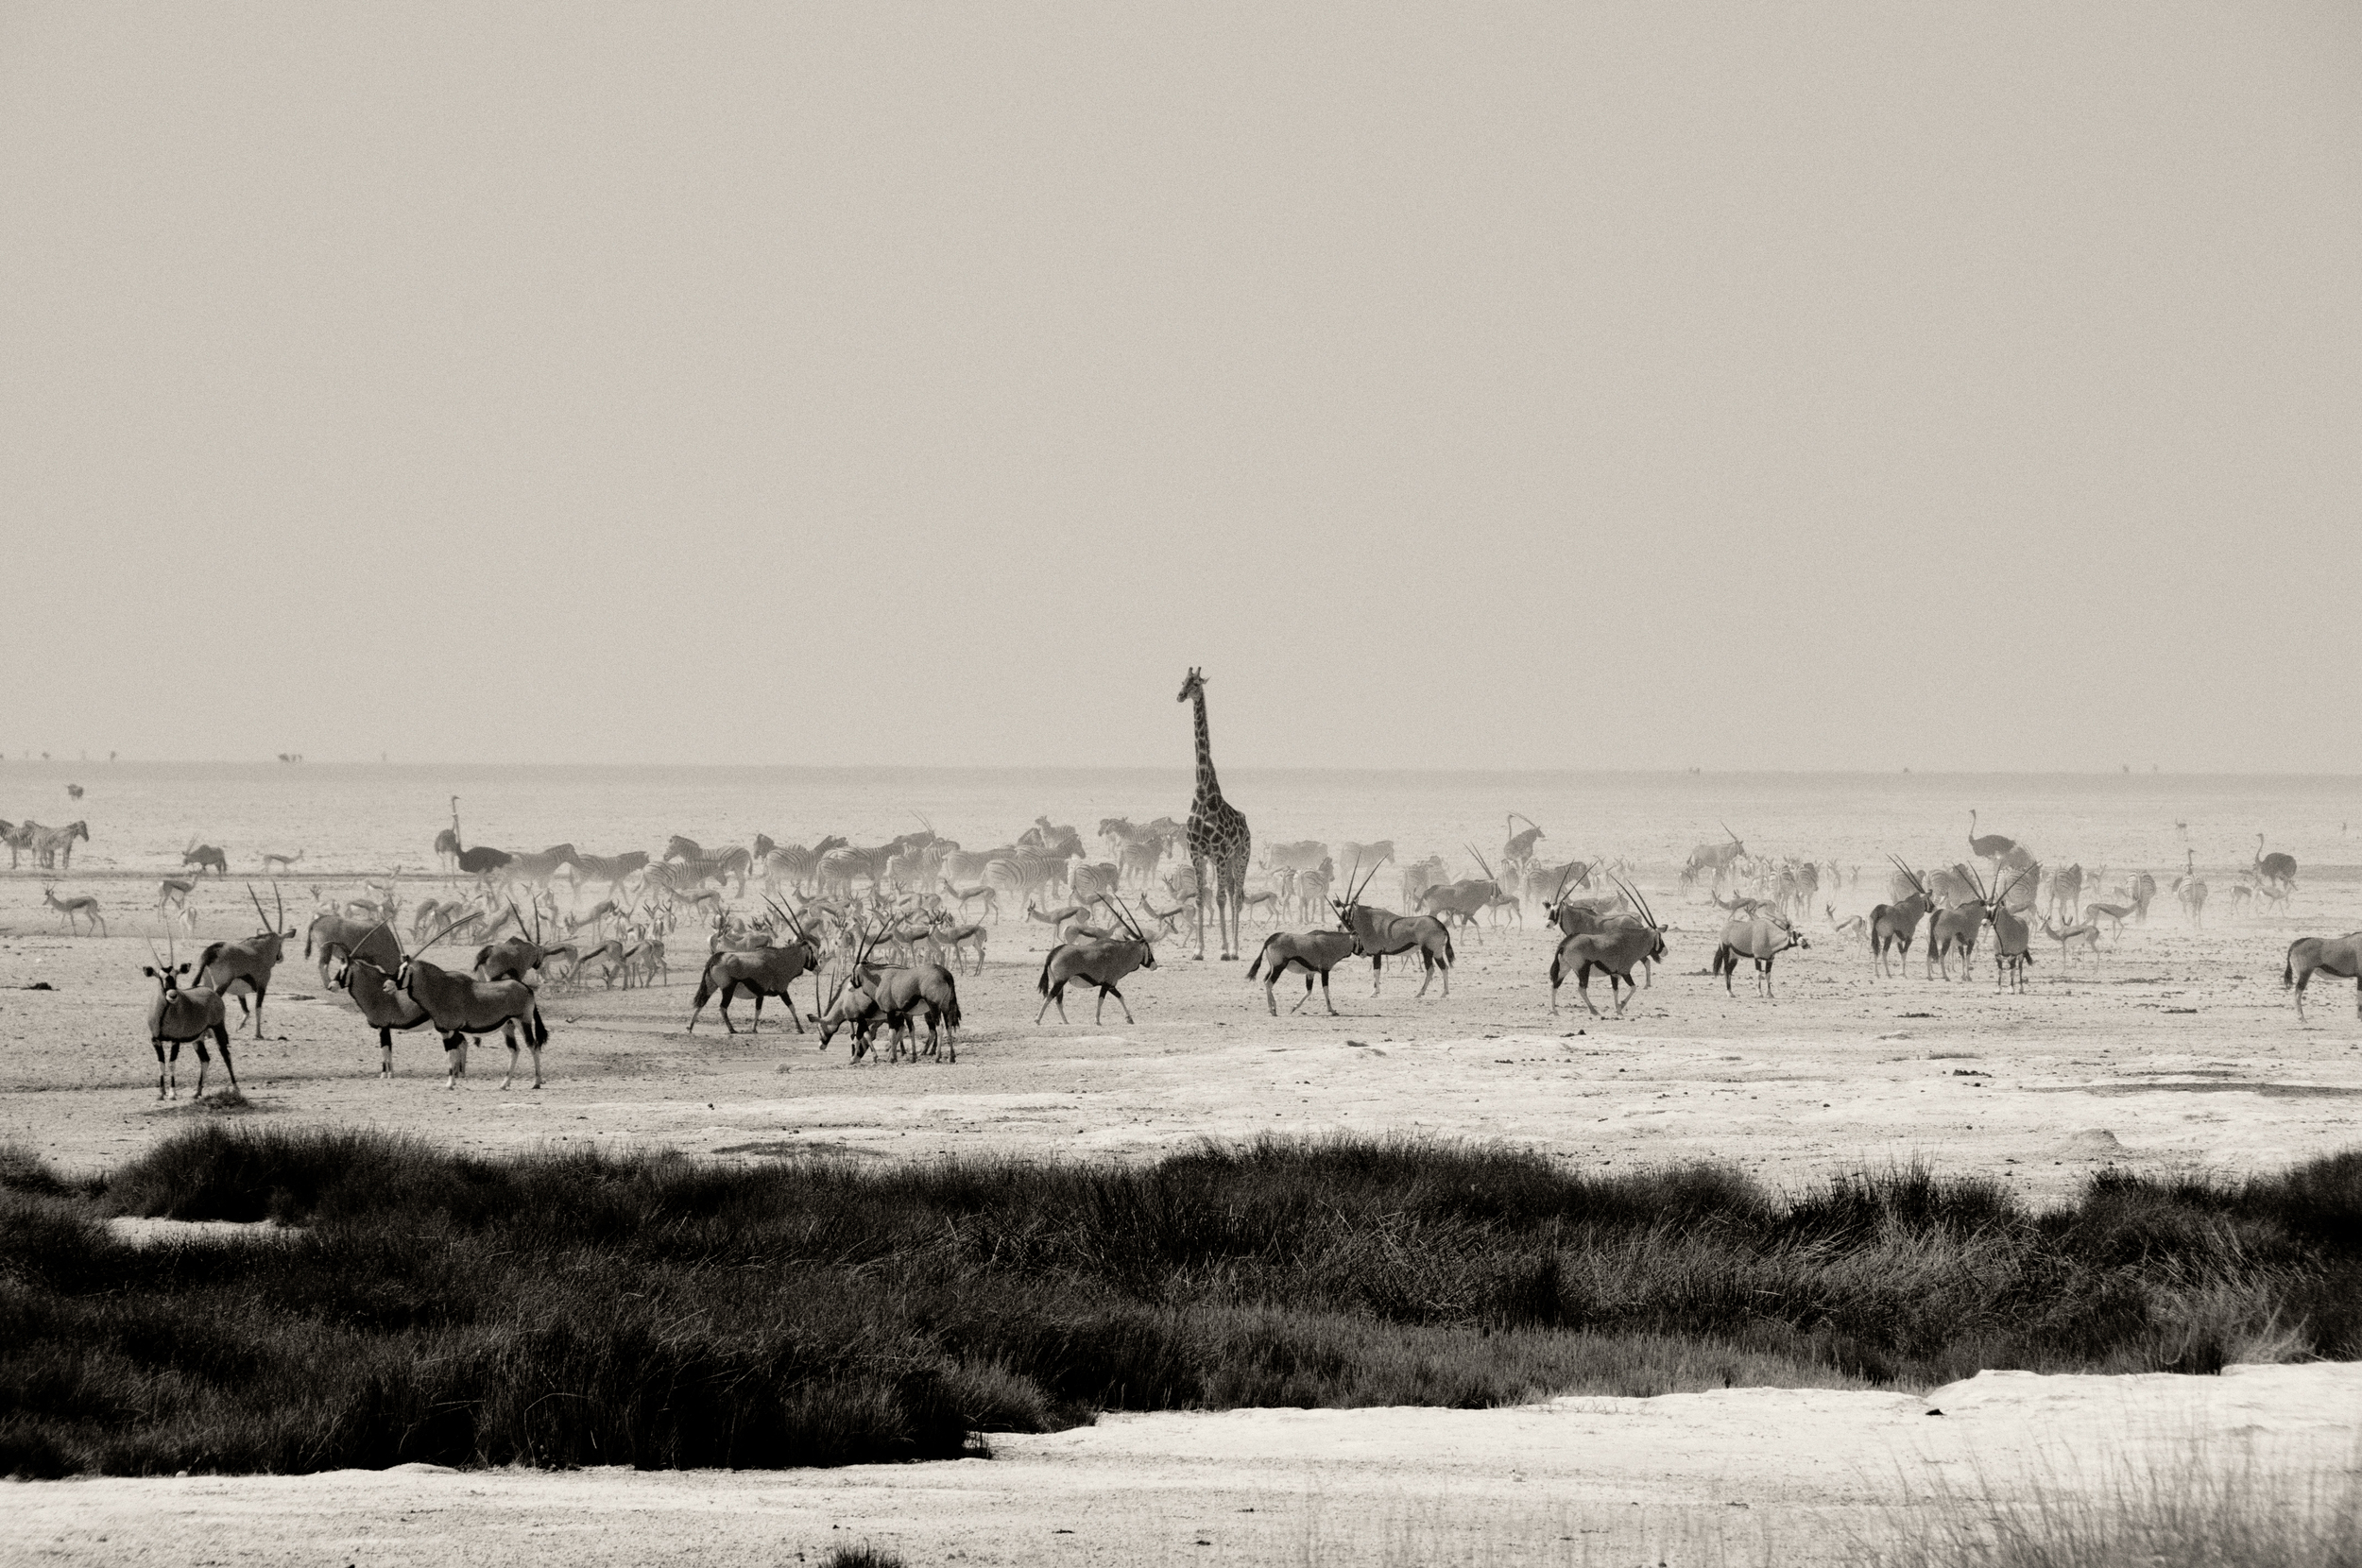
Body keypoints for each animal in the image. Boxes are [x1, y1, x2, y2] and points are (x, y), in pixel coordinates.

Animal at [140, 945, 232, 1100]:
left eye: (176, 975)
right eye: (160, 977)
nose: (172, 995)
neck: (163, 1016)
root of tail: (212, 992)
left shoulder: (175, 1040)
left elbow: (171, 1064)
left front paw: (172, 1093)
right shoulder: (156, 1040)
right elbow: (161, 1064)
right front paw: (161, 1094)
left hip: (217, 1029)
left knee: (226, 1055)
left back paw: (236, 1089)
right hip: (198, 1039)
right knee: (205, 1059)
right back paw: (197, 1092)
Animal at [1181, 661, 1257, 954]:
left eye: (1196, 683)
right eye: (1181, 681)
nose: (1180, 696)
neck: (1203, 792)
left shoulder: (1222, 853)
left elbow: (1222, 899)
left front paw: (1224, 949)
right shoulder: (1197, 852)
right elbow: (1200, 898)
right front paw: (1198, 950)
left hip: (1241, 856)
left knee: (1237, 896)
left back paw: (1234, 949)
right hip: (1224, 860)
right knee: (1233, 892)